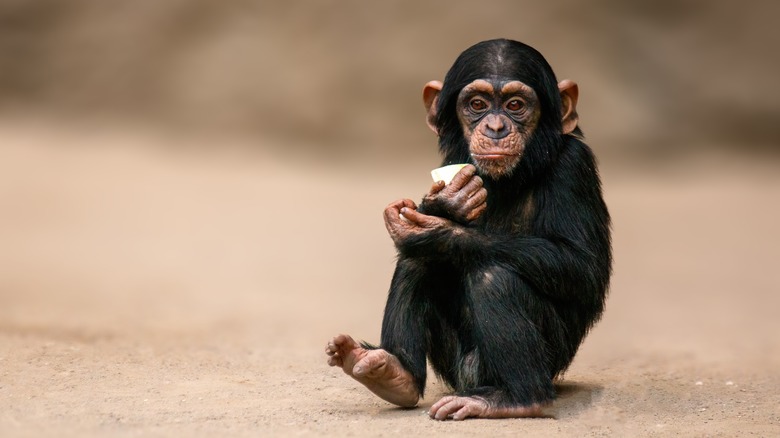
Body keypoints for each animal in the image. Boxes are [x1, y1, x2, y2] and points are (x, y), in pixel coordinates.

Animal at [326, 40, 612, 420]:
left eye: (515, 105)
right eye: (477, 104)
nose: (496, 127)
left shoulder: (573, 166)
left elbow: (582, 266)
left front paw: (440, 231)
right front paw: (444, 205)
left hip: (536, 362)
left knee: (493, 277)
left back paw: (517, 399)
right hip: (454, 363)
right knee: (414, 262)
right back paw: (393, 374)